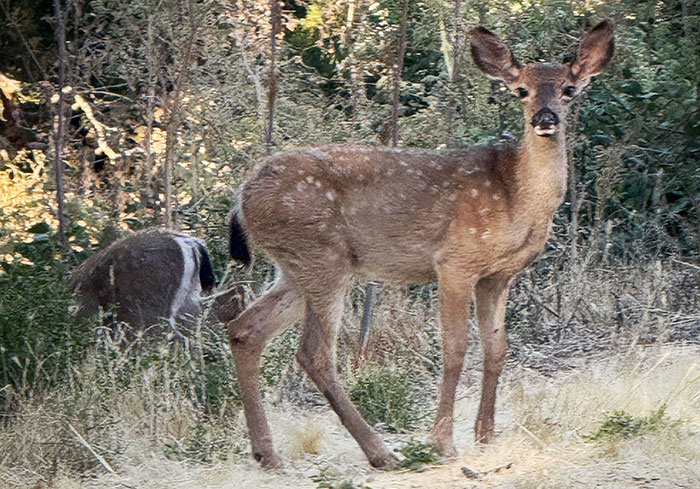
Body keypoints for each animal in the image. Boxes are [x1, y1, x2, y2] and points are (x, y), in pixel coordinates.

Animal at [225, 20, 614, 469]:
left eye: (569, 89)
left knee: (245, 330)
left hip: (296, 267)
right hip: (320, 255)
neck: (515, 196)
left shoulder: (499, 275)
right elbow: (455, 348)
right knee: (314, 353)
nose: (545, 118)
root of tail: (243, 196)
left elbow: (497, 349)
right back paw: (380, 452)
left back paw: (267, 453)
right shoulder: (455, 261)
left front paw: (486, 436)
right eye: (522, 90)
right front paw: (444, 442)